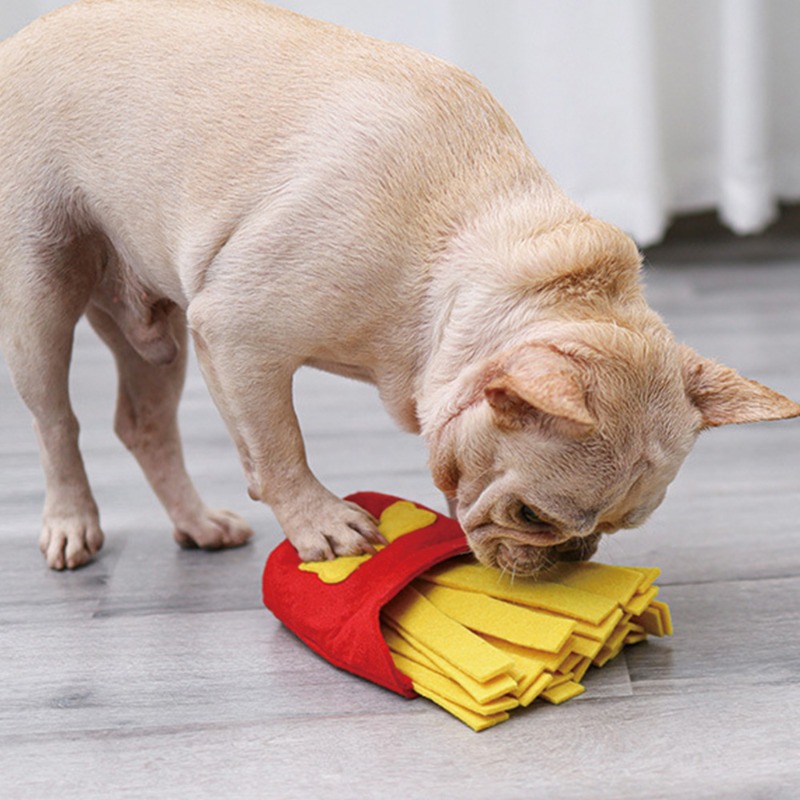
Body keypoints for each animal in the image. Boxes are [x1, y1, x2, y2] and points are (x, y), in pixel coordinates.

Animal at [1, 0, 800, 576]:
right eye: (534, 518)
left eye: (618, 525)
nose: (575, 557)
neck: (461, 259)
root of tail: (25, 36)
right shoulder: (238, 334)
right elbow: (278, 441)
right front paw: (321, 523)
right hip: (39, 294)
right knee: (56, 422)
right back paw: (71, 523)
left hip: (157, 334)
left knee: (144, 424)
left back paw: (197, 523)